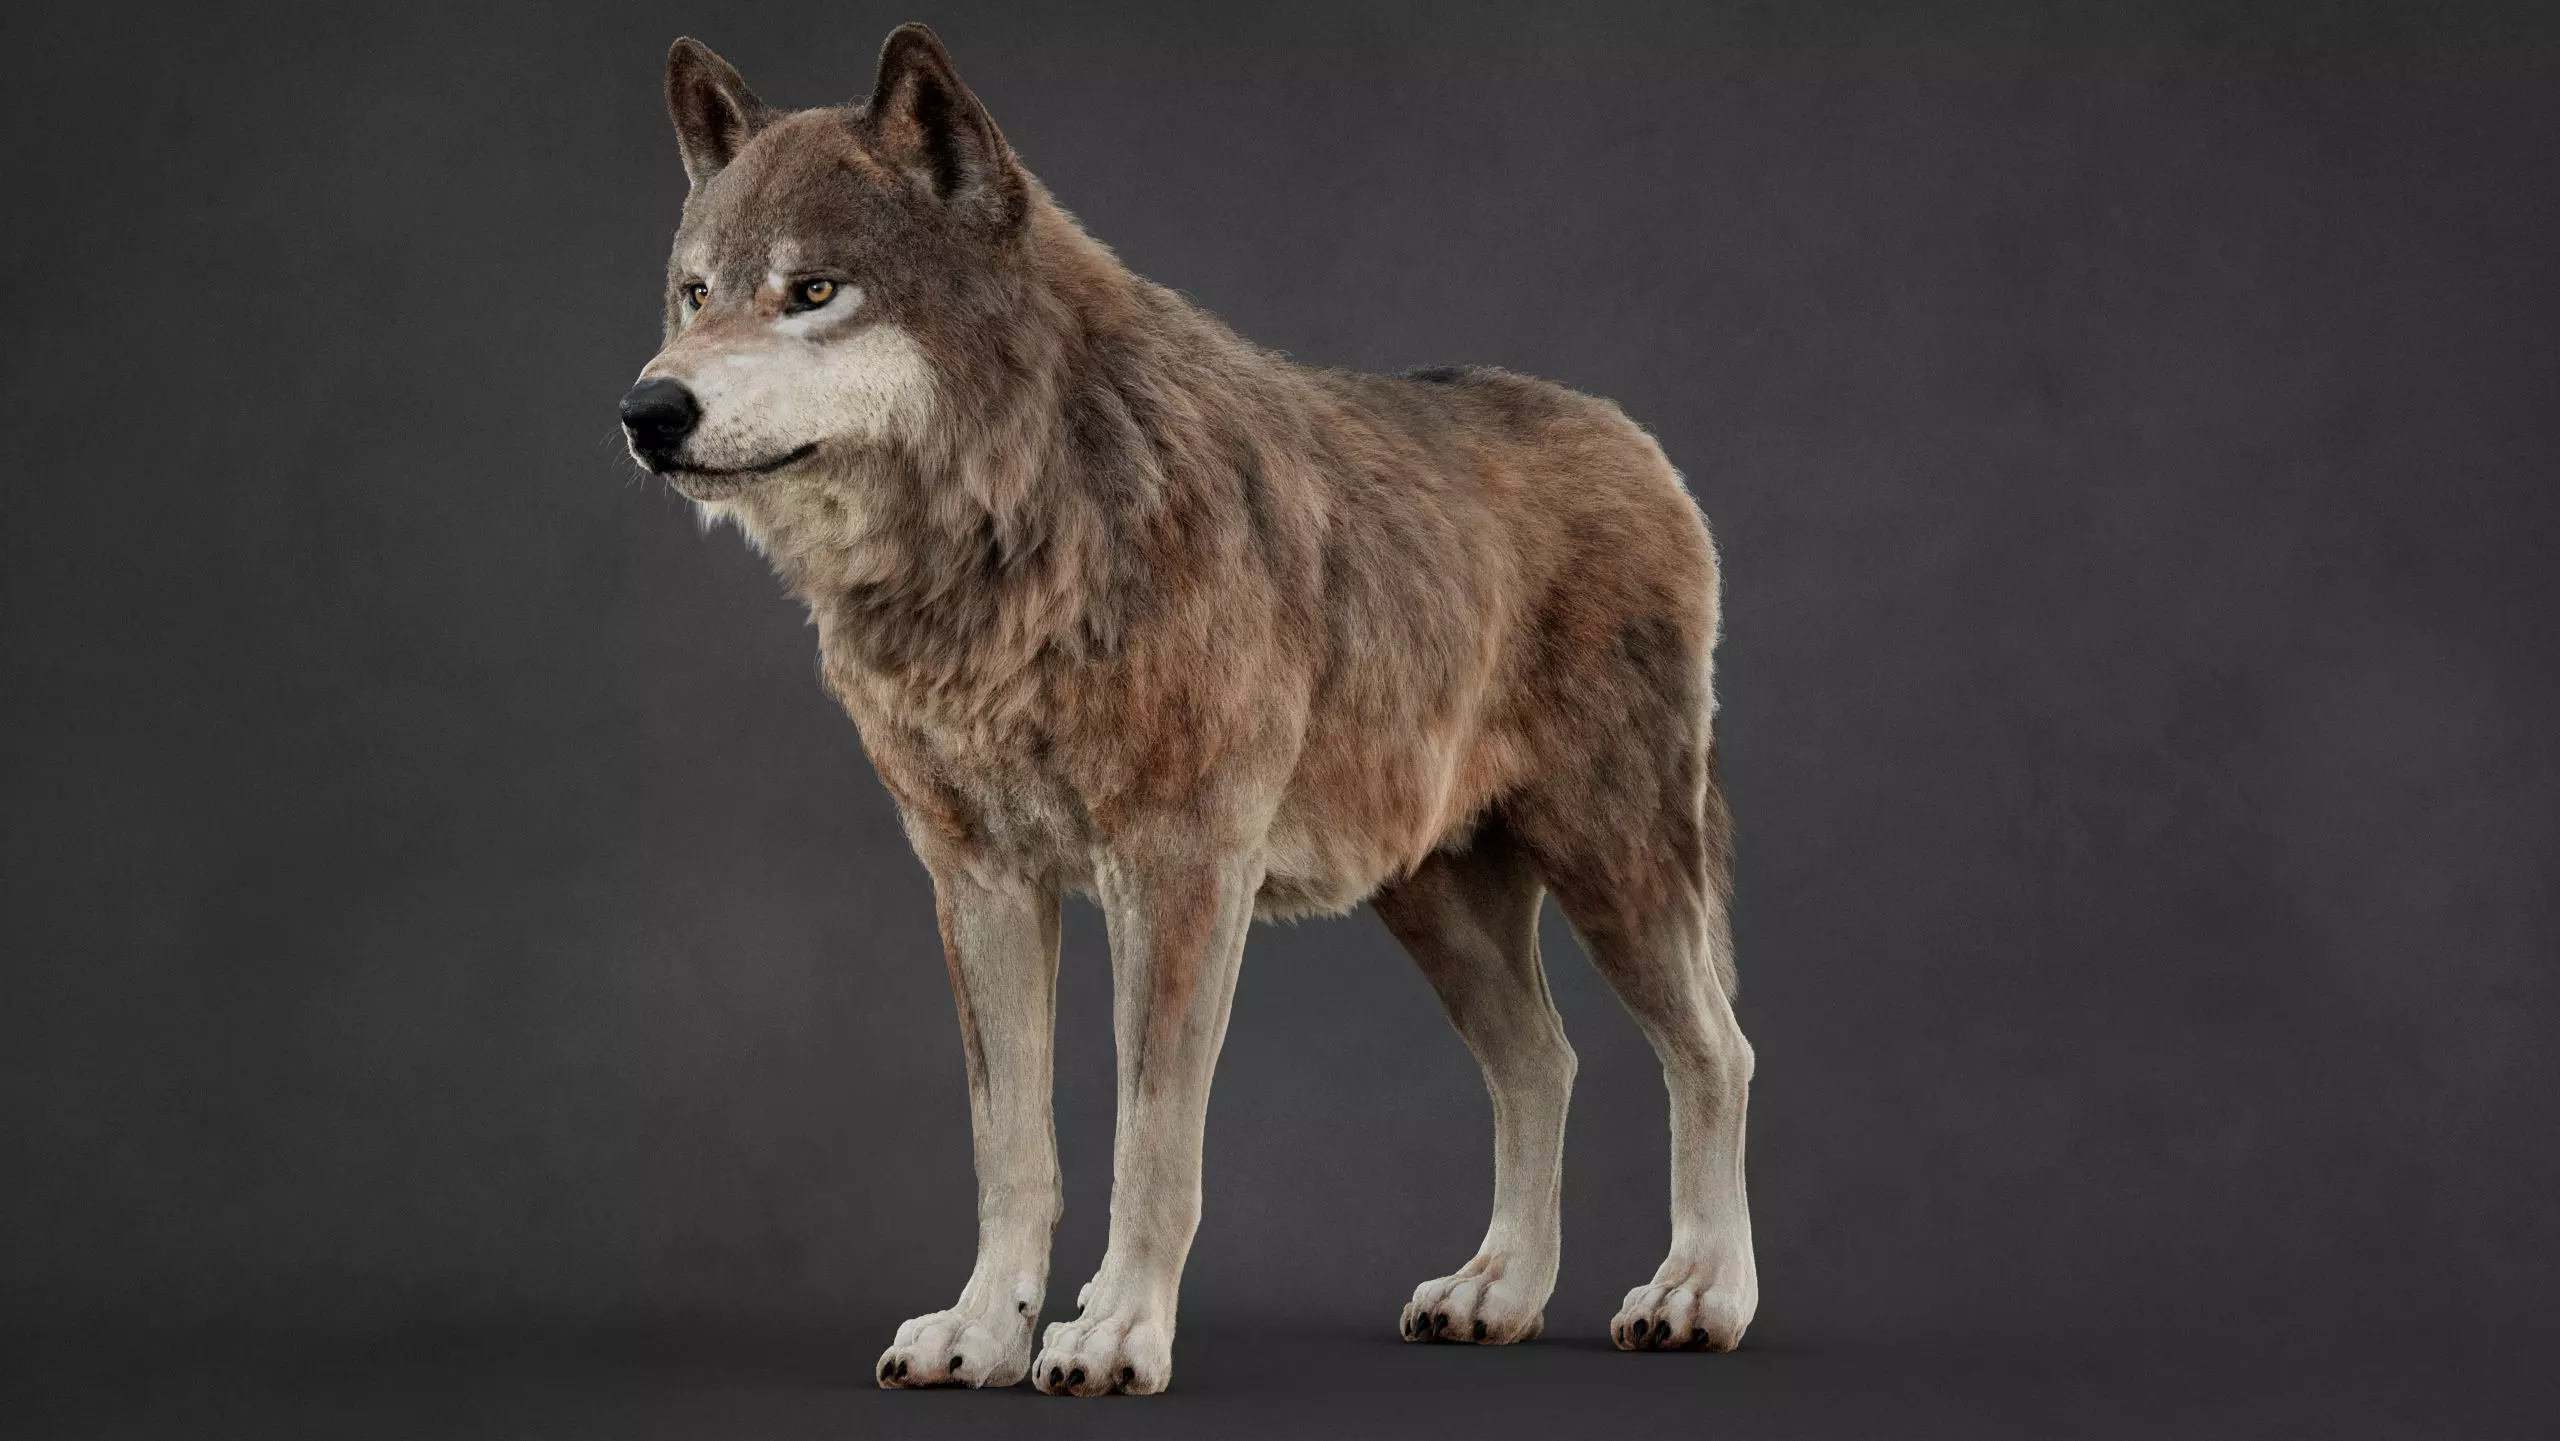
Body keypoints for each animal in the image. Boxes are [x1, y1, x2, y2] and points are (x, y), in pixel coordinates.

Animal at [619, 23, 1759, 1396]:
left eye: (815, 292)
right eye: (695, 294)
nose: (647, 411)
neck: (1020, 535)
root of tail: (1642, 446)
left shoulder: (1174, 877)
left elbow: (1151, 1140)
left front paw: (1114, 1331)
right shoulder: (979, 881)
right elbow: (1012, 1147)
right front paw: (980, 1333)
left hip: (1615, 864)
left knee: (1714, 1053)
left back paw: (1698, 1294)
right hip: (1432, 899)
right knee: (1544, 1061)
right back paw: (1497, 1293)